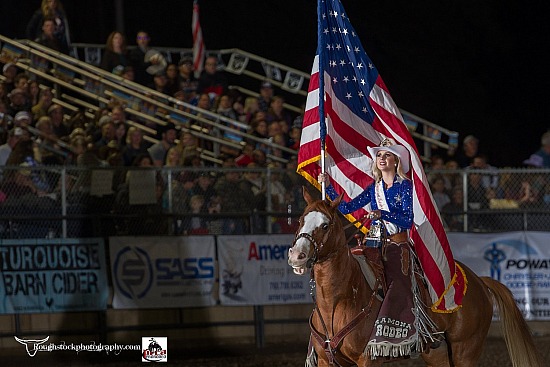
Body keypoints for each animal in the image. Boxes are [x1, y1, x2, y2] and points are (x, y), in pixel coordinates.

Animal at [288, 190, 544, 367]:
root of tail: (478, 281)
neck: (339, 301)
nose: (296, 255)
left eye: (325, 225)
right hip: (437, 353)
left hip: (466, 350)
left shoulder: (368, 359)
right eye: (300, 220)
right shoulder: (326, 360)